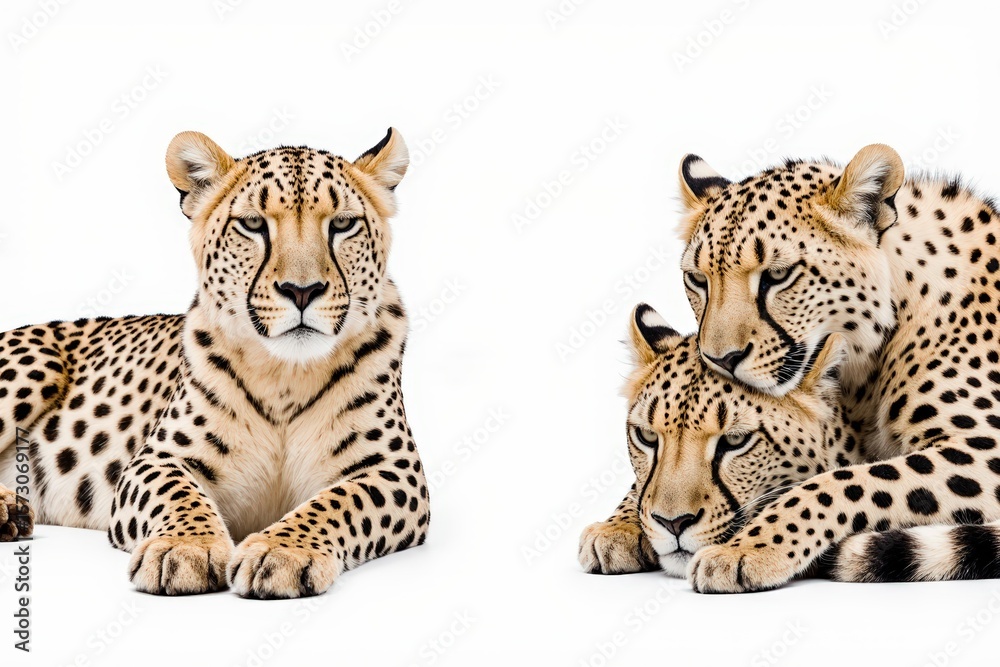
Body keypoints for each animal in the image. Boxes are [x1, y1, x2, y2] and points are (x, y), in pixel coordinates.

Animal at [0, 128, 430, 598]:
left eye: (342, 224)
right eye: (253, 225)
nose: (301, 291)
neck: (286, 376)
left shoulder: (396, 471)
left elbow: (338, 503)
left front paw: (283, 551)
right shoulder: (159, 457)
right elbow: (177, 494)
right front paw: (184, 547)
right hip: (33, 367)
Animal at [670, 143, 1000, 592]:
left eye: (778, 275)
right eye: (697, 280)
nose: (720, 359)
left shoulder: (986, 445)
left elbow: (846, 482)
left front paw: (747, 548)